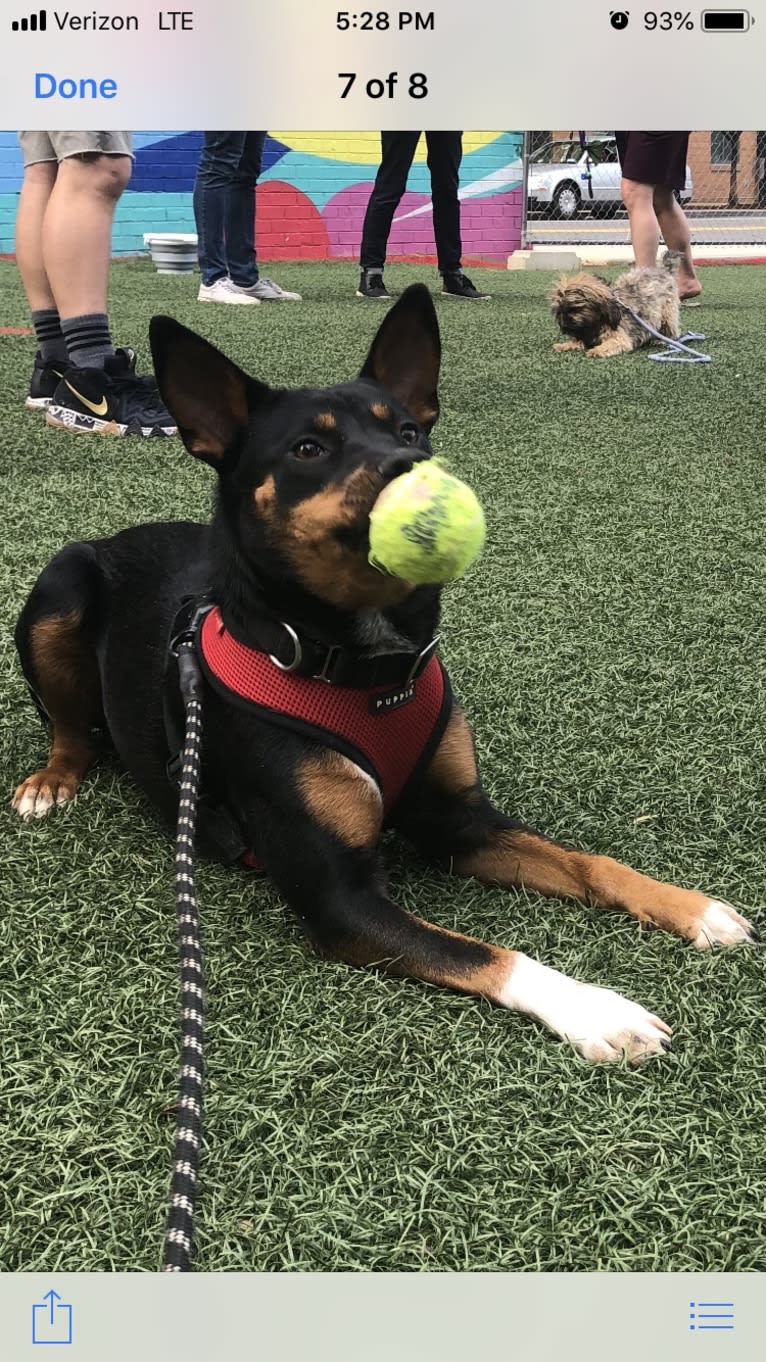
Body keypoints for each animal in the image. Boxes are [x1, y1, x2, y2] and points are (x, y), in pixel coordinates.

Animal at [11, 284, 752, 1062]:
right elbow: (493, 954)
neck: (369, 669)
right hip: (61, 584)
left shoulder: (458, 820)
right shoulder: (341, 898)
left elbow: (590, 862)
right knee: (69, 728)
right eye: (309, 448)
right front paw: (599, 1009)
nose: (413, 467)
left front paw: (692, 907)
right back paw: (50, 782)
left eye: (409, 430)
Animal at [547, 250, 678, 356]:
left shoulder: (620, 338)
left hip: (667, 313)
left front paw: (596, 350)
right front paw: (565, 345)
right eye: (559, 311)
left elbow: (612, 343)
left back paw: (662, 340)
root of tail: (664, 270)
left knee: (671, 330)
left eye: (575, 308)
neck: (596, 322)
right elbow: (578, 341)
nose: (564, 325)